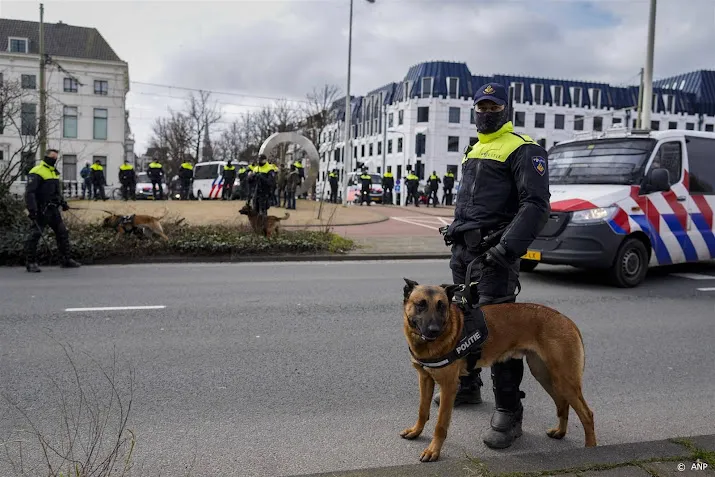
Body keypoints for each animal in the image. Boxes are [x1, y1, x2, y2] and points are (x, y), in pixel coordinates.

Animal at [400, 278, 596, 462]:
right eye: (421, 304)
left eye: (442, 306)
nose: (434, 330)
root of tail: (566, 319)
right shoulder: (425, 379)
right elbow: (422, 410)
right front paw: (416, 431)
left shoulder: (449, 387)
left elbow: (440, 424)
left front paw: (433, 450)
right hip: (545, 376)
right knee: (563, 403)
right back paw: (560, 432)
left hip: (564, 381)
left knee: (587, 414)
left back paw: (592, 449)